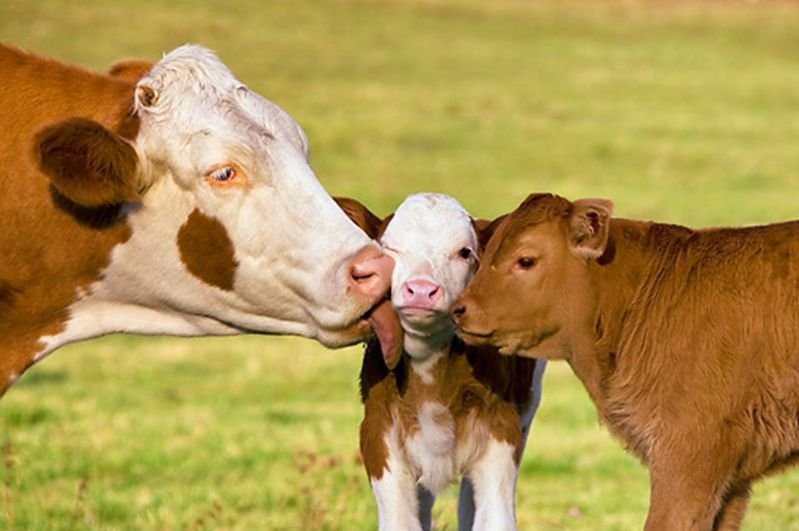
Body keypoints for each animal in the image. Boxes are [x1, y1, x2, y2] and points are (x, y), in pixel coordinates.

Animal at [352, 194, 548, 531]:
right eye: (388, 250)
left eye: (464, 252)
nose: (420, 290)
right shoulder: (379, 434)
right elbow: (401, 521)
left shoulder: (502, 430)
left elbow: (495, 518)